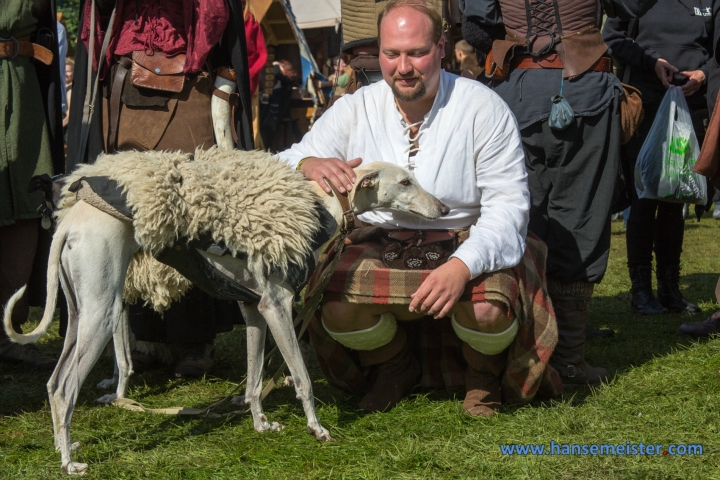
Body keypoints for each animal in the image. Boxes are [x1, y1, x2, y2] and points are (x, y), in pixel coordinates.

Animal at [2, 148, 448, 474]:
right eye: (405, 181)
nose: (443, 209)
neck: (322, 206)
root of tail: (69, 220)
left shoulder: (253, 309)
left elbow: (253, 380)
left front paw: (261, 425)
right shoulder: (278, 306)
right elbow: (302, 379)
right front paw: (318, 429)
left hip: (80, 314)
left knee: (54, 383)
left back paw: (64, 444)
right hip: (102, 312)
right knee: (64, 389)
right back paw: (69, 463)